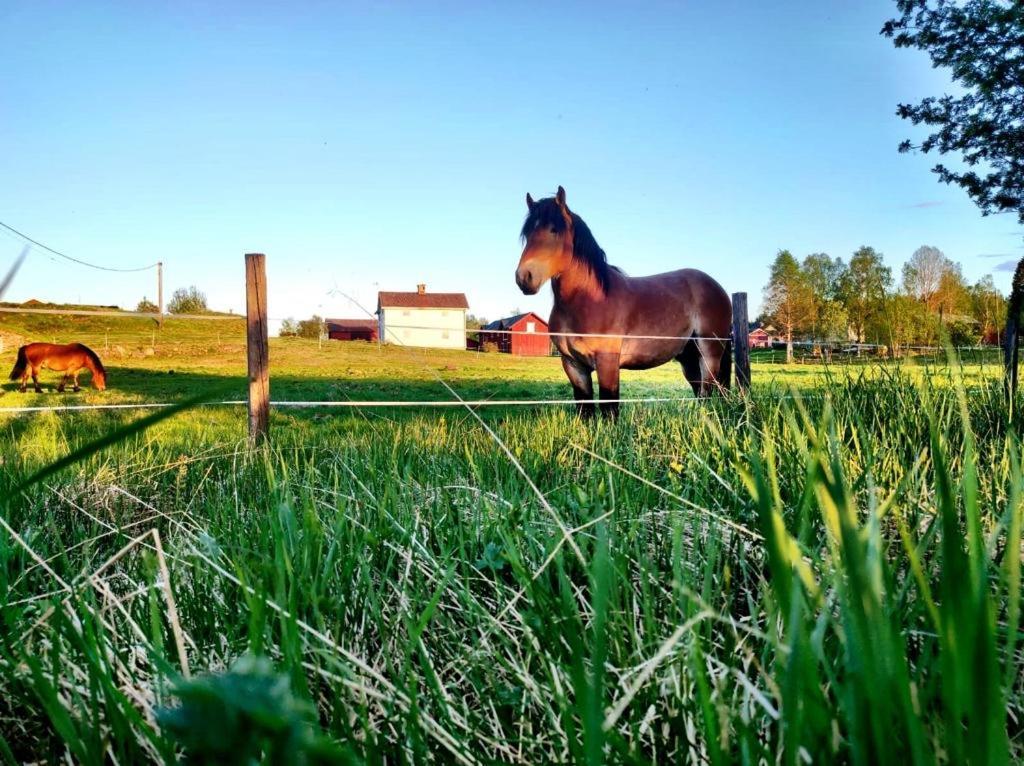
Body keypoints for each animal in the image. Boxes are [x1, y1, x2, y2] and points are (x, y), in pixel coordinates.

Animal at [516, 188, 733, 419]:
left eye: (554, 230)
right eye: (527, 234)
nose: (524, 277)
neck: (587, 300)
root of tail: (718, 288)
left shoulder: (607, 362)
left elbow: (609, 407)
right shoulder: (573, 365)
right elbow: (585, 408)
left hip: (709, 353)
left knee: (708, 391)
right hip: (689, 358)